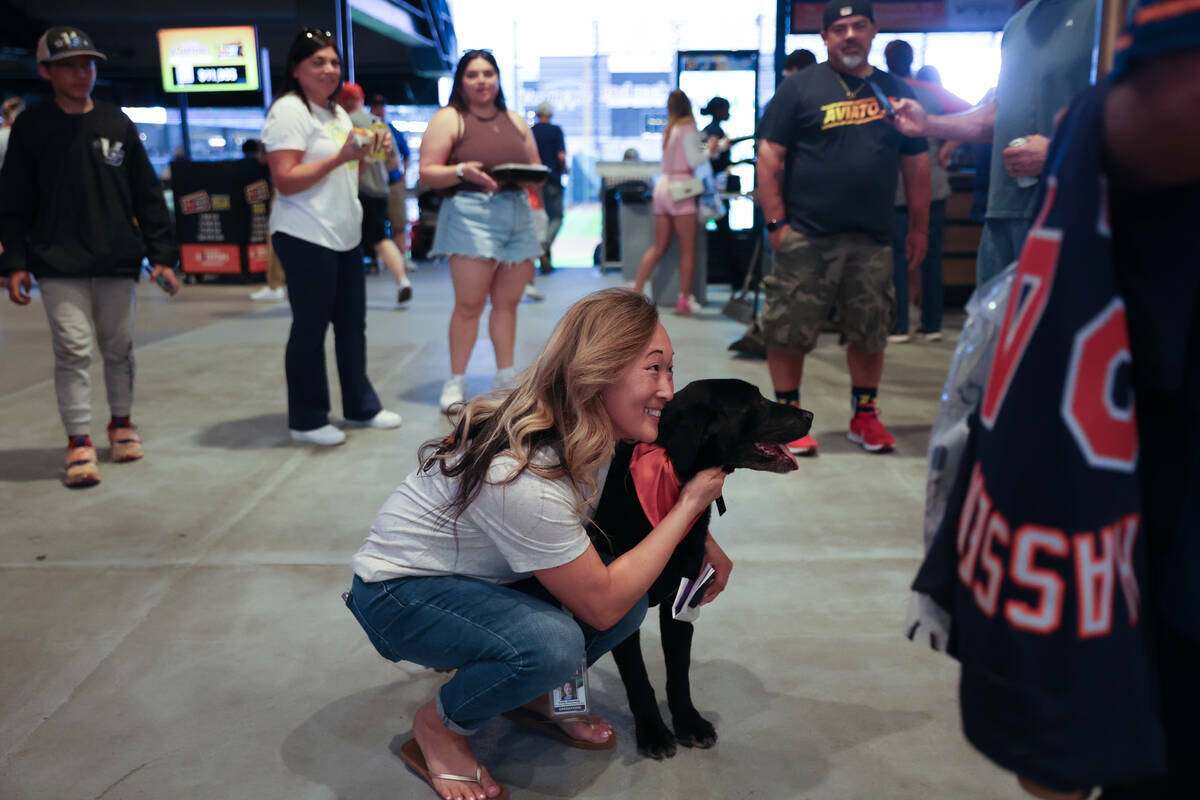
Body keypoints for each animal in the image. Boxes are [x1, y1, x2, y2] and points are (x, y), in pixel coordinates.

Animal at [585, 379, 811, 762]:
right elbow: (638, 678)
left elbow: (679, 673)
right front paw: (654, 732)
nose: (809, 415)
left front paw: (689, 722)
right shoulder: (618, 607)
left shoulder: (681, 596)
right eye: (755, 403)